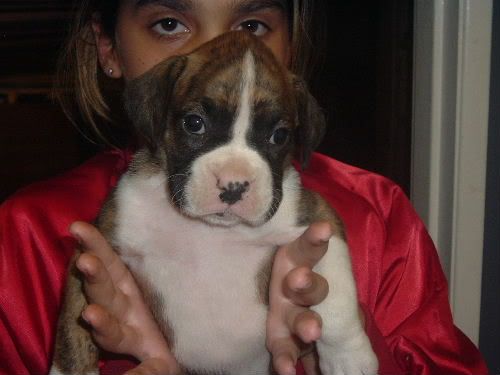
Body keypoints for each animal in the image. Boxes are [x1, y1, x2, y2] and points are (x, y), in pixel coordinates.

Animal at [51, 31, 378, 375]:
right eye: (194, 123)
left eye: (279, 136)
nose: (233, 185)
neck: (210, 230)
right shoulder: (95, 246)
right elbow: (72, 324)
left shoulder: (317, 219)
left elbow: (337, 294)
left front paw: (349, 356)